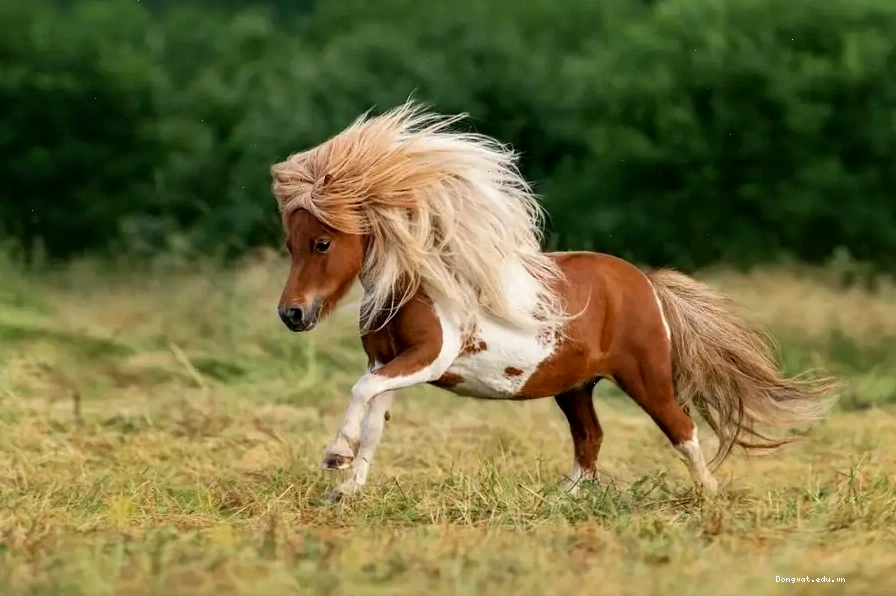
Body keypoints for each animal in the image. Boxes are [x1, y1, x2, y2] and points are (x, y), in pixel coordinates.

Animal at [270, 101, 839, 503]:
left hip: (645, 376)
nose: (291, 314)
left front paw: (334, 459)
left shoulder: (427, 358)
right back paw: (558, 500)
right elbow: (373, 420)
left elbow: (361, 393)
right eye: (290, 243)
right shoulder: (387, 362)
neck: (416, 285)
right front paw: (345, 488)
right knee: (590, 440)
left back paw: (710, 497)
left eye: (322, 243)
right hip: (576, 387)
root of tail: (646, 283)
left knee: (682, 429)